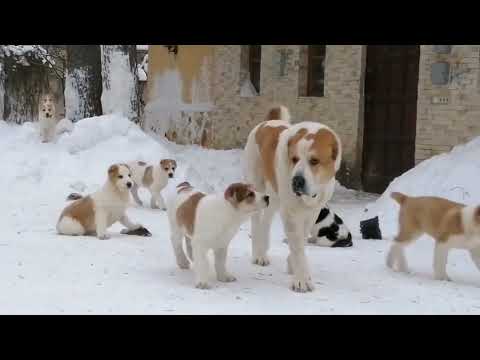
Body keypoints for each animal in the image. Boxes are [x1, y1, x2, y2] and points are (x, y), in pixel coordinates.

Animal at [244, 104, 342, 292]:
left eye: (314, 161)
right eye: (294, 159)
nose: (296, 180)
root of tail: (267, 122)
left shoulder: (313, 211)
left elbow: (301, 239)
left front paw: (293, 265)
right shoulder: (290, 212)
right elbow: (297, 245)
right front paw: (301, 279)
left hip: (274, 197)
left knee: (266, 221)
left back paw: (263, 249)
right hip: (256, 185)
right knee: (256, 222)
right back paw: (258, 255)